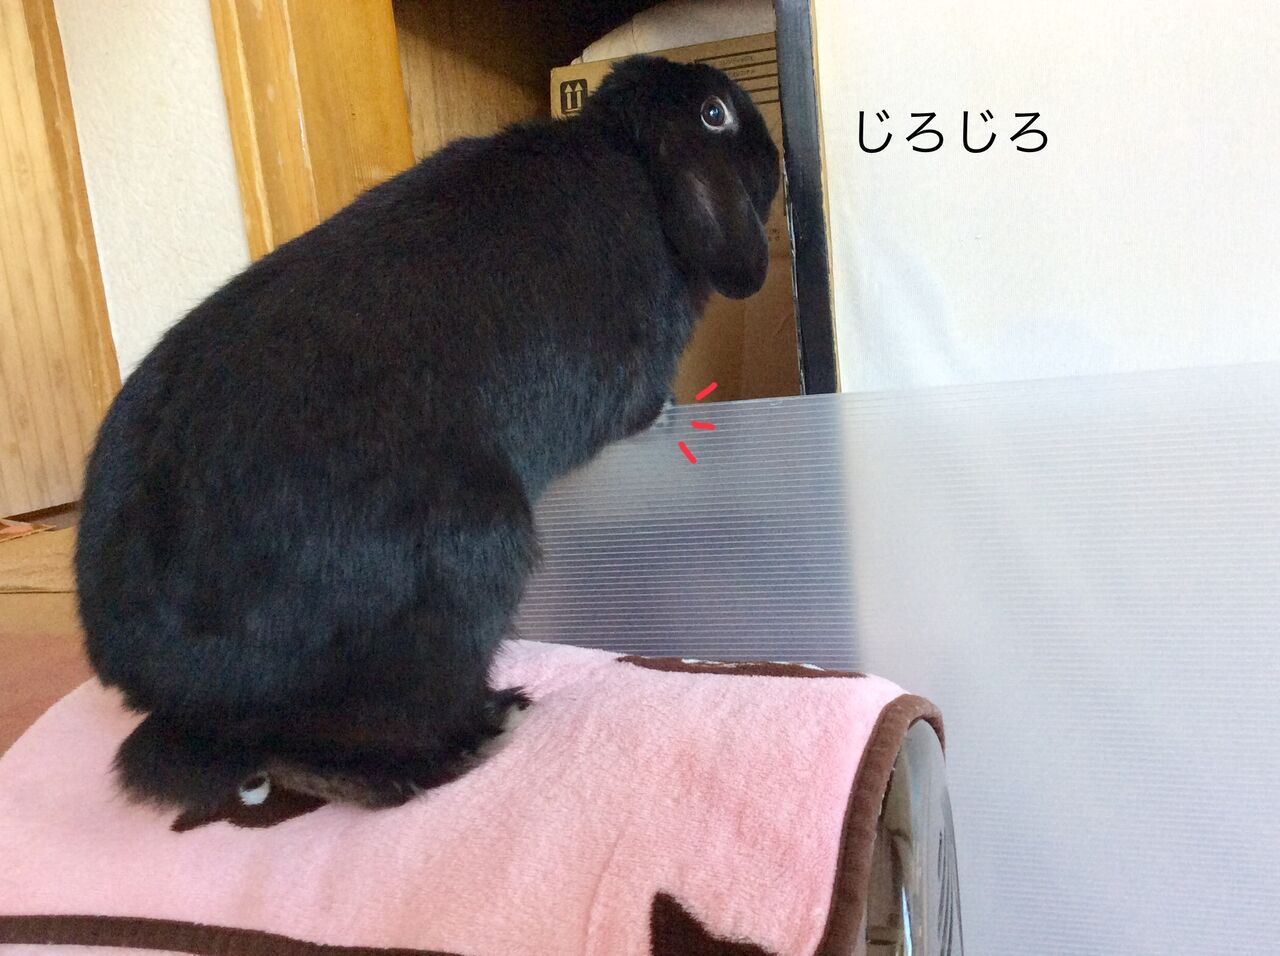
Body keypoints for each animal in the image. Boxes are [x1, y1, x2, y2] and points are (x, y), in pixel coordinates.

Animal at [75, 55, 780, 814]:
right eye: (716, 113)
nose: (775, 155)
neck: (635, 160)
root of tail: (152, 663)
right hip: (473, 552)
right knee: (343, 741)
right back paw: (474, 735)